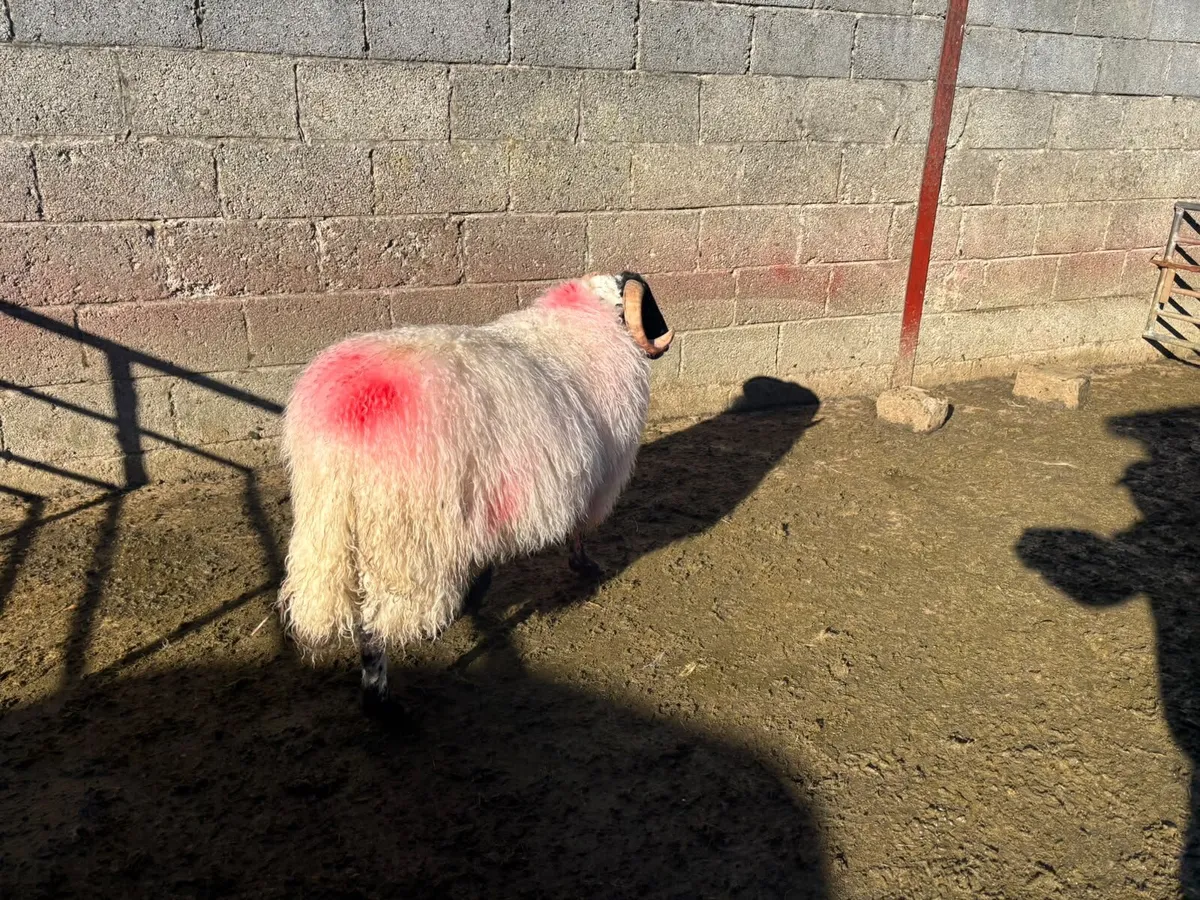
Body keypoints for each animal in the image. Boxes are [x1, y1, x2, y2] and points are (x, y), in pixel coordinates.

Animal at [278, 272, 674, 714]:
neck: (584, 317)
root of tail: (350, 411)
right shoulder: (592, 478)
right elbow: (577, 533)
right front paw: (584, 567)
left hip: (333, 524)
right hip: (405, 538)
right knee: (375, 623)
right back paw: (380, 697)